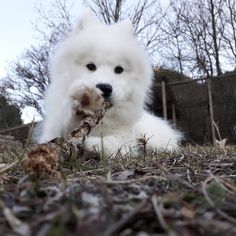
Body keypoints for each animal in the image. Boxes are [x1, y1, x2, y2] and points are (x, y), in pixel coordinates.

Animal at [39, 12, 183, 156]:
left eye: (119, 69)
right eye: (90, 66)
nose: (104, 88)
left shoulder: (125, 136)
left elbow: (117, 143)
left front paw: (95, 144)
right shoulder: (53, 131)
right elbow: (64, 128)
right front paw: (84, 100)